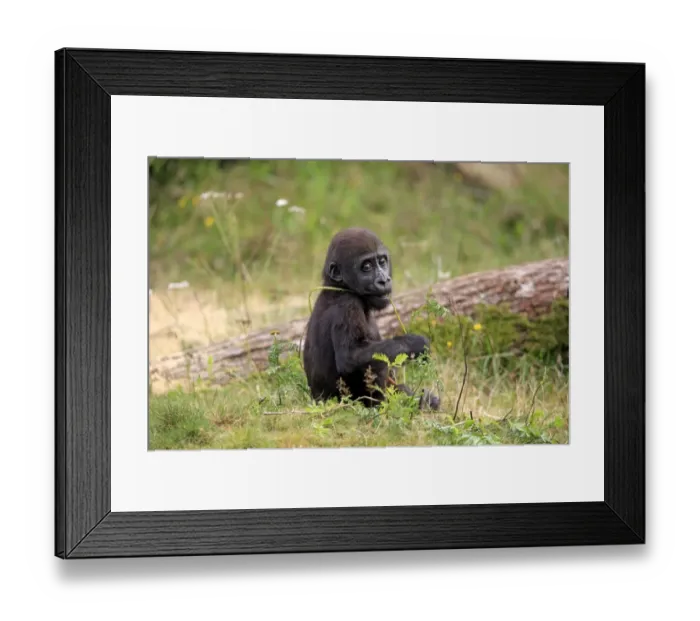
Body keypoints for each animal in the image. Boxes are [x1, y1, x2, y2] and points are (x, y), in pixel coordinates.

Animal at [302, 227, 440, 410]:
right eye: (366, 267)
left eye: (382, 262)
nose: (384, 280)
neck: (340, 287)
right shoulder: (347, 305)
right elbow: (351, 357)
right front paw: (415, 344)